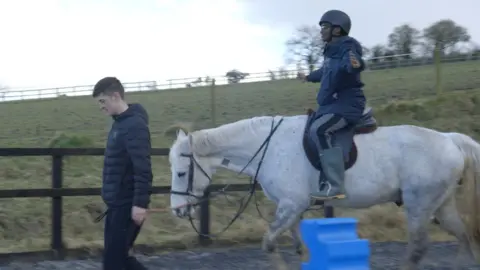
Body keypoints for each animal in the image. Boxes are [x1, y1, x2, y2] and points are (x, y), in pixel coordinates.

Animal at [167, 110, 480, 268]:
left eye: (181, 173)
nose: (177, 211)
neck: (270, 147)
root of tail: (450, 139)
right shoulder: (294, 209)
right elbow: (298, 248)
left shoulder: (291, 205)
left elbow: (269, 244)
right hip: (440, 205)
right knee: (464, 238)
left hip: (419, 205)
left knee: (418, 248)